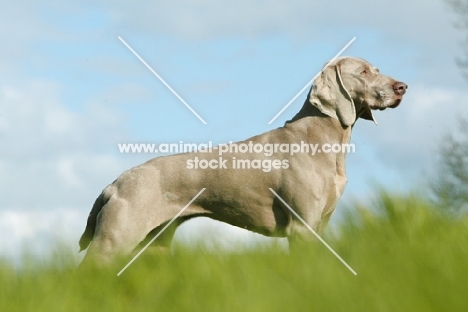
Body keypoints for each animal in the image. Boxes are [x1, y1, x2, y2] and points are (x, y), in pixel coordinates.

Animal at [79, 56, 406, 266]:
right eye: (363, 72)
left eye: (377, 69)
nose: (402, 87)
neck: (323, 138)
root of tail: (116, 182)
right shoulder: (302, 227)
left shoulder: (320, 225)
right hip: (113, 241)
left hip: (153, 245)